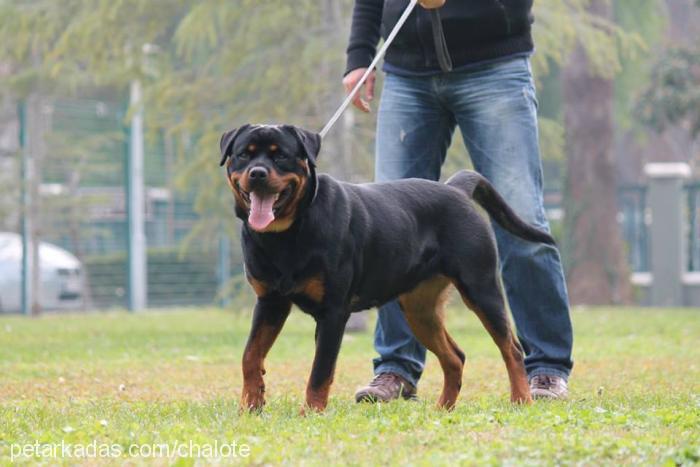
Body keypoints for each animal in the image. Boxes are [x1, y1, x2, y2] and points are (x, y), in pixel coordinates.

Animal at [221, 123, 556, 414]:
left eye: (280, 155)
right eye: (243, 154)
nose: (257, 173)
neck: (286, 234)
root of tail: (456, 190)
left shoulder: (333, 312)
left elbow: (320, 371)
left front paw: (311, 413)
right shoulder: (270, 302)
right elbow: (250, 355)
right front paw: (250, 406)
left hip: (481, 288)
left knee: (512, 348)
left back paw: (521, 400)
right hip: (419, 309)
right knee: (455, 357)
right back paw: (443, 408)